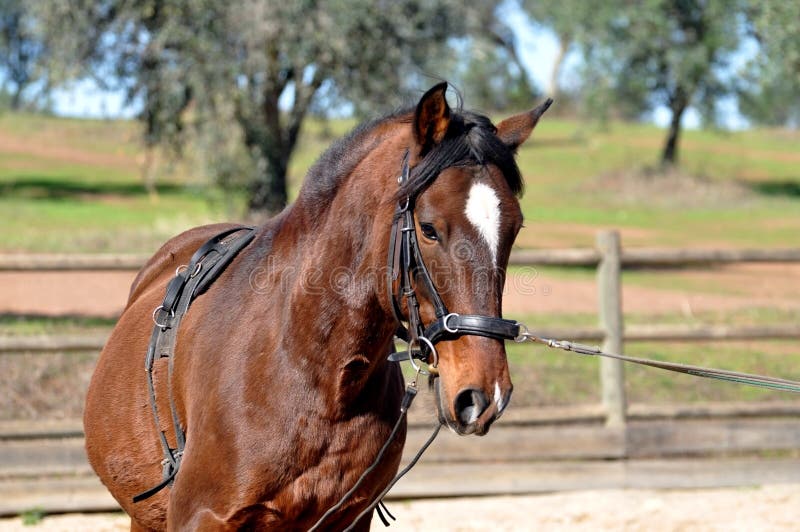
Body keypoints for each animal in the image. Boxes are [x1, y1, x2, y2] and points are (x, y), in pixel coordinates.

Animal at [84, 82, 551, 530]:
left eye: (514, 228)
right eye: (429, 228)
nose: (484, 395)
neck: (308, 368)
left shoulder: (351, 519)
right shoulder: (202, 518)